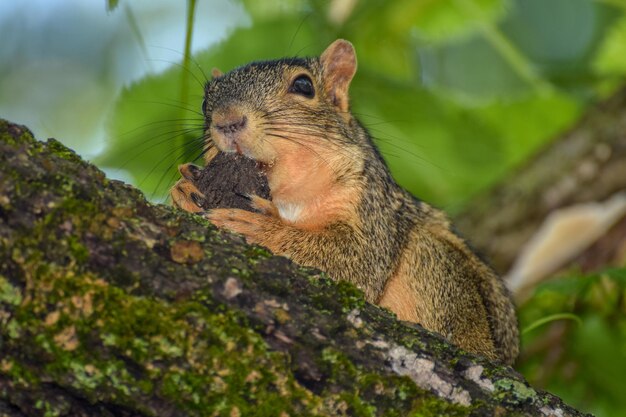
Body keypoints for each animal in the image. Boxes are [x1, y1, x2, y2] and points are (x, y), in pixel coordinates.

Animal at [169, 39, 516, 364]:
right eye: (205, 101)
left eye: (303, 86)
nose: (227, 121)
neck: (290, 196)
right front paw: (185, 189)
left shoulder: (372, 205)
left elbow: (355, 262)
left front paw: (263, 226)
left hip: (437, 268)